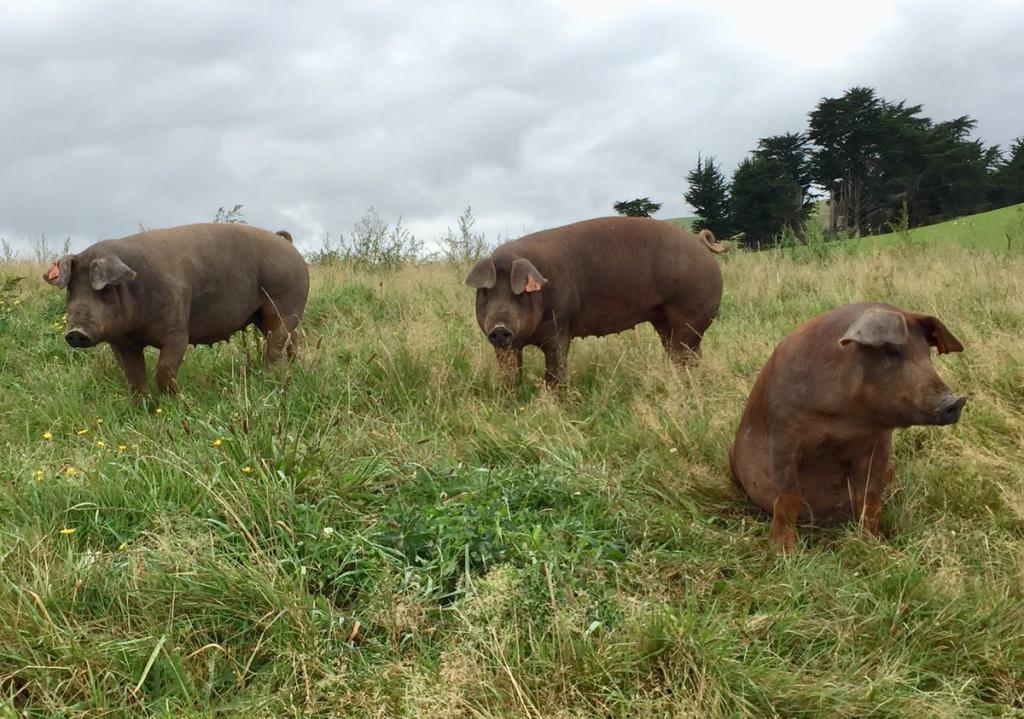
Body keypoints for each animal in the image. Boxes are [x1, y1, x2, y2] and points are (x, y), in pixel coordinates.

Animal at [43, 224, 307, 397]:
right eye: (71, 290)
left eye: (105, 289)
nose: (75, 332)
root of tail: (286, 242)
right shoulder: (122, 342)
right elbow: (133, 376)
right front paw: (143, 405)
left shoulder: (177, 331)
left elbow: (165, 370)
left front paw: (178, 399)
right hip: (265, 315)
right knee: (291, 340)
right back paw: (296, 369)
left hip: (285, 305)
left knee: (275, 346)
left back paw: (268, 378)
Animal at [466, 215, 729, 389]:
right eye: (485, 293)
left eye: (519, 293)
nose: (500, 327)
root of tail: (699, 242)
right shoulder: (505, 345)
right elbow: (510, 370)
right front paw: (510, 395)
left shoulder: (560, 325)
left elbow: (555, 367)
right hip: (663, 320)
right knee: (682, 353)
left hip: (691, 314)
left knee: (686, 355)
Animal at [733, 301, 962, 553]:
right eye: (891, 351)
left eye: (927, 353)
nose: (956, 400)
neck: (846, 419)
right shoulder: (784, 432)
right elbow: (788, 494)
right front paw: (783, 552)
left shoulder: (879, 441)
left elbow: (870, 496)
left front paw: (876, 542)